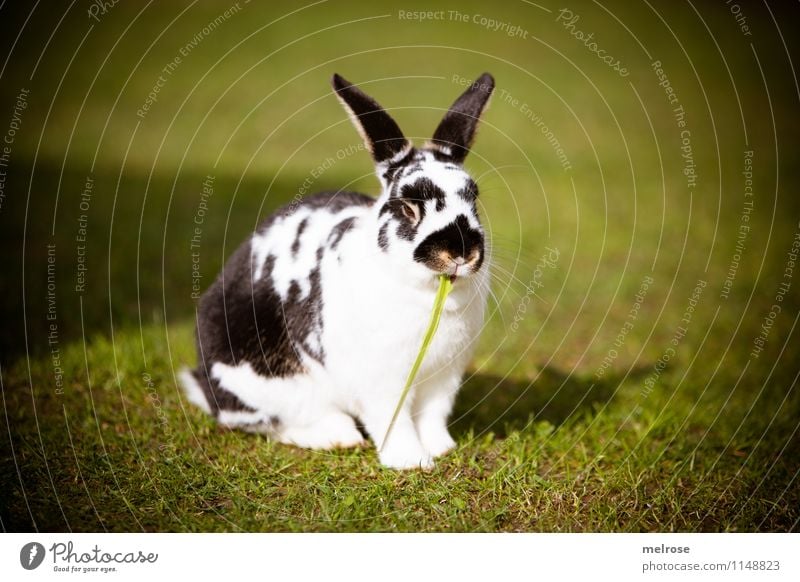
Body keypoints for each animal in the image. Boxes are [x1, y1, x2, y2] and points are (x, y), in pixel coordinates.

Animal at [180, 72, 494, 470]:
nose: (460, 251)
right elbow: (393, 421)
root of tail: (204, 384)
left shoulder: (444, 378)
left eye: (474, 198)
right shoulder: (383, 382)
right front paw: (411, 461)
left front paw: (441, 449)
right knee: (271, 421)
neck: (430, 294)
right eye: (407, 207)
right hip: (267, 383)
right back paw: (339, 436)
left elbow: (432, 418)